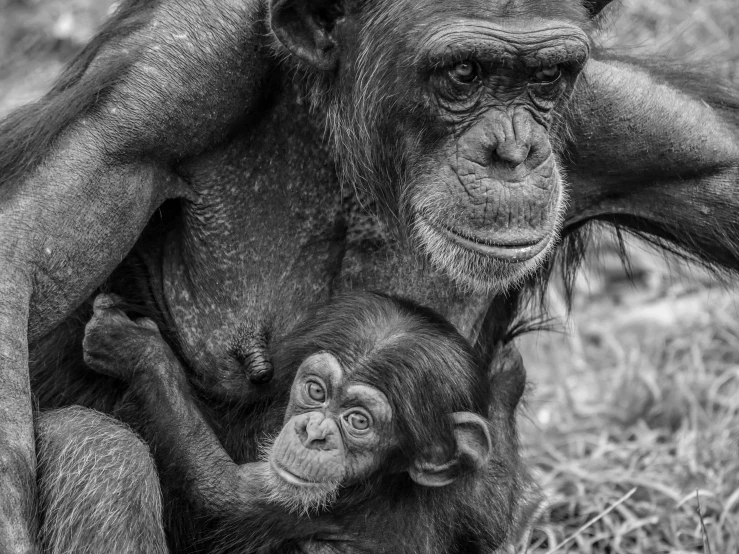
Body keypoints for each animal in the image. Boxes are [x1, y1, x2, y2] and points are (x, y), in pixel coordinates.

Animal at [68, 292, 532, 548]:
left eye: (358, 421)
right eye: (316, 391)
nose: (314, 432)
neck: (390, 481)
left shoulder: (305, 507)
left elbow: (223, 491)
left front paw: (136, 348)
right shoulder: (466, 503)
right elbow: (491, 511)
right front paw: (506, 375)